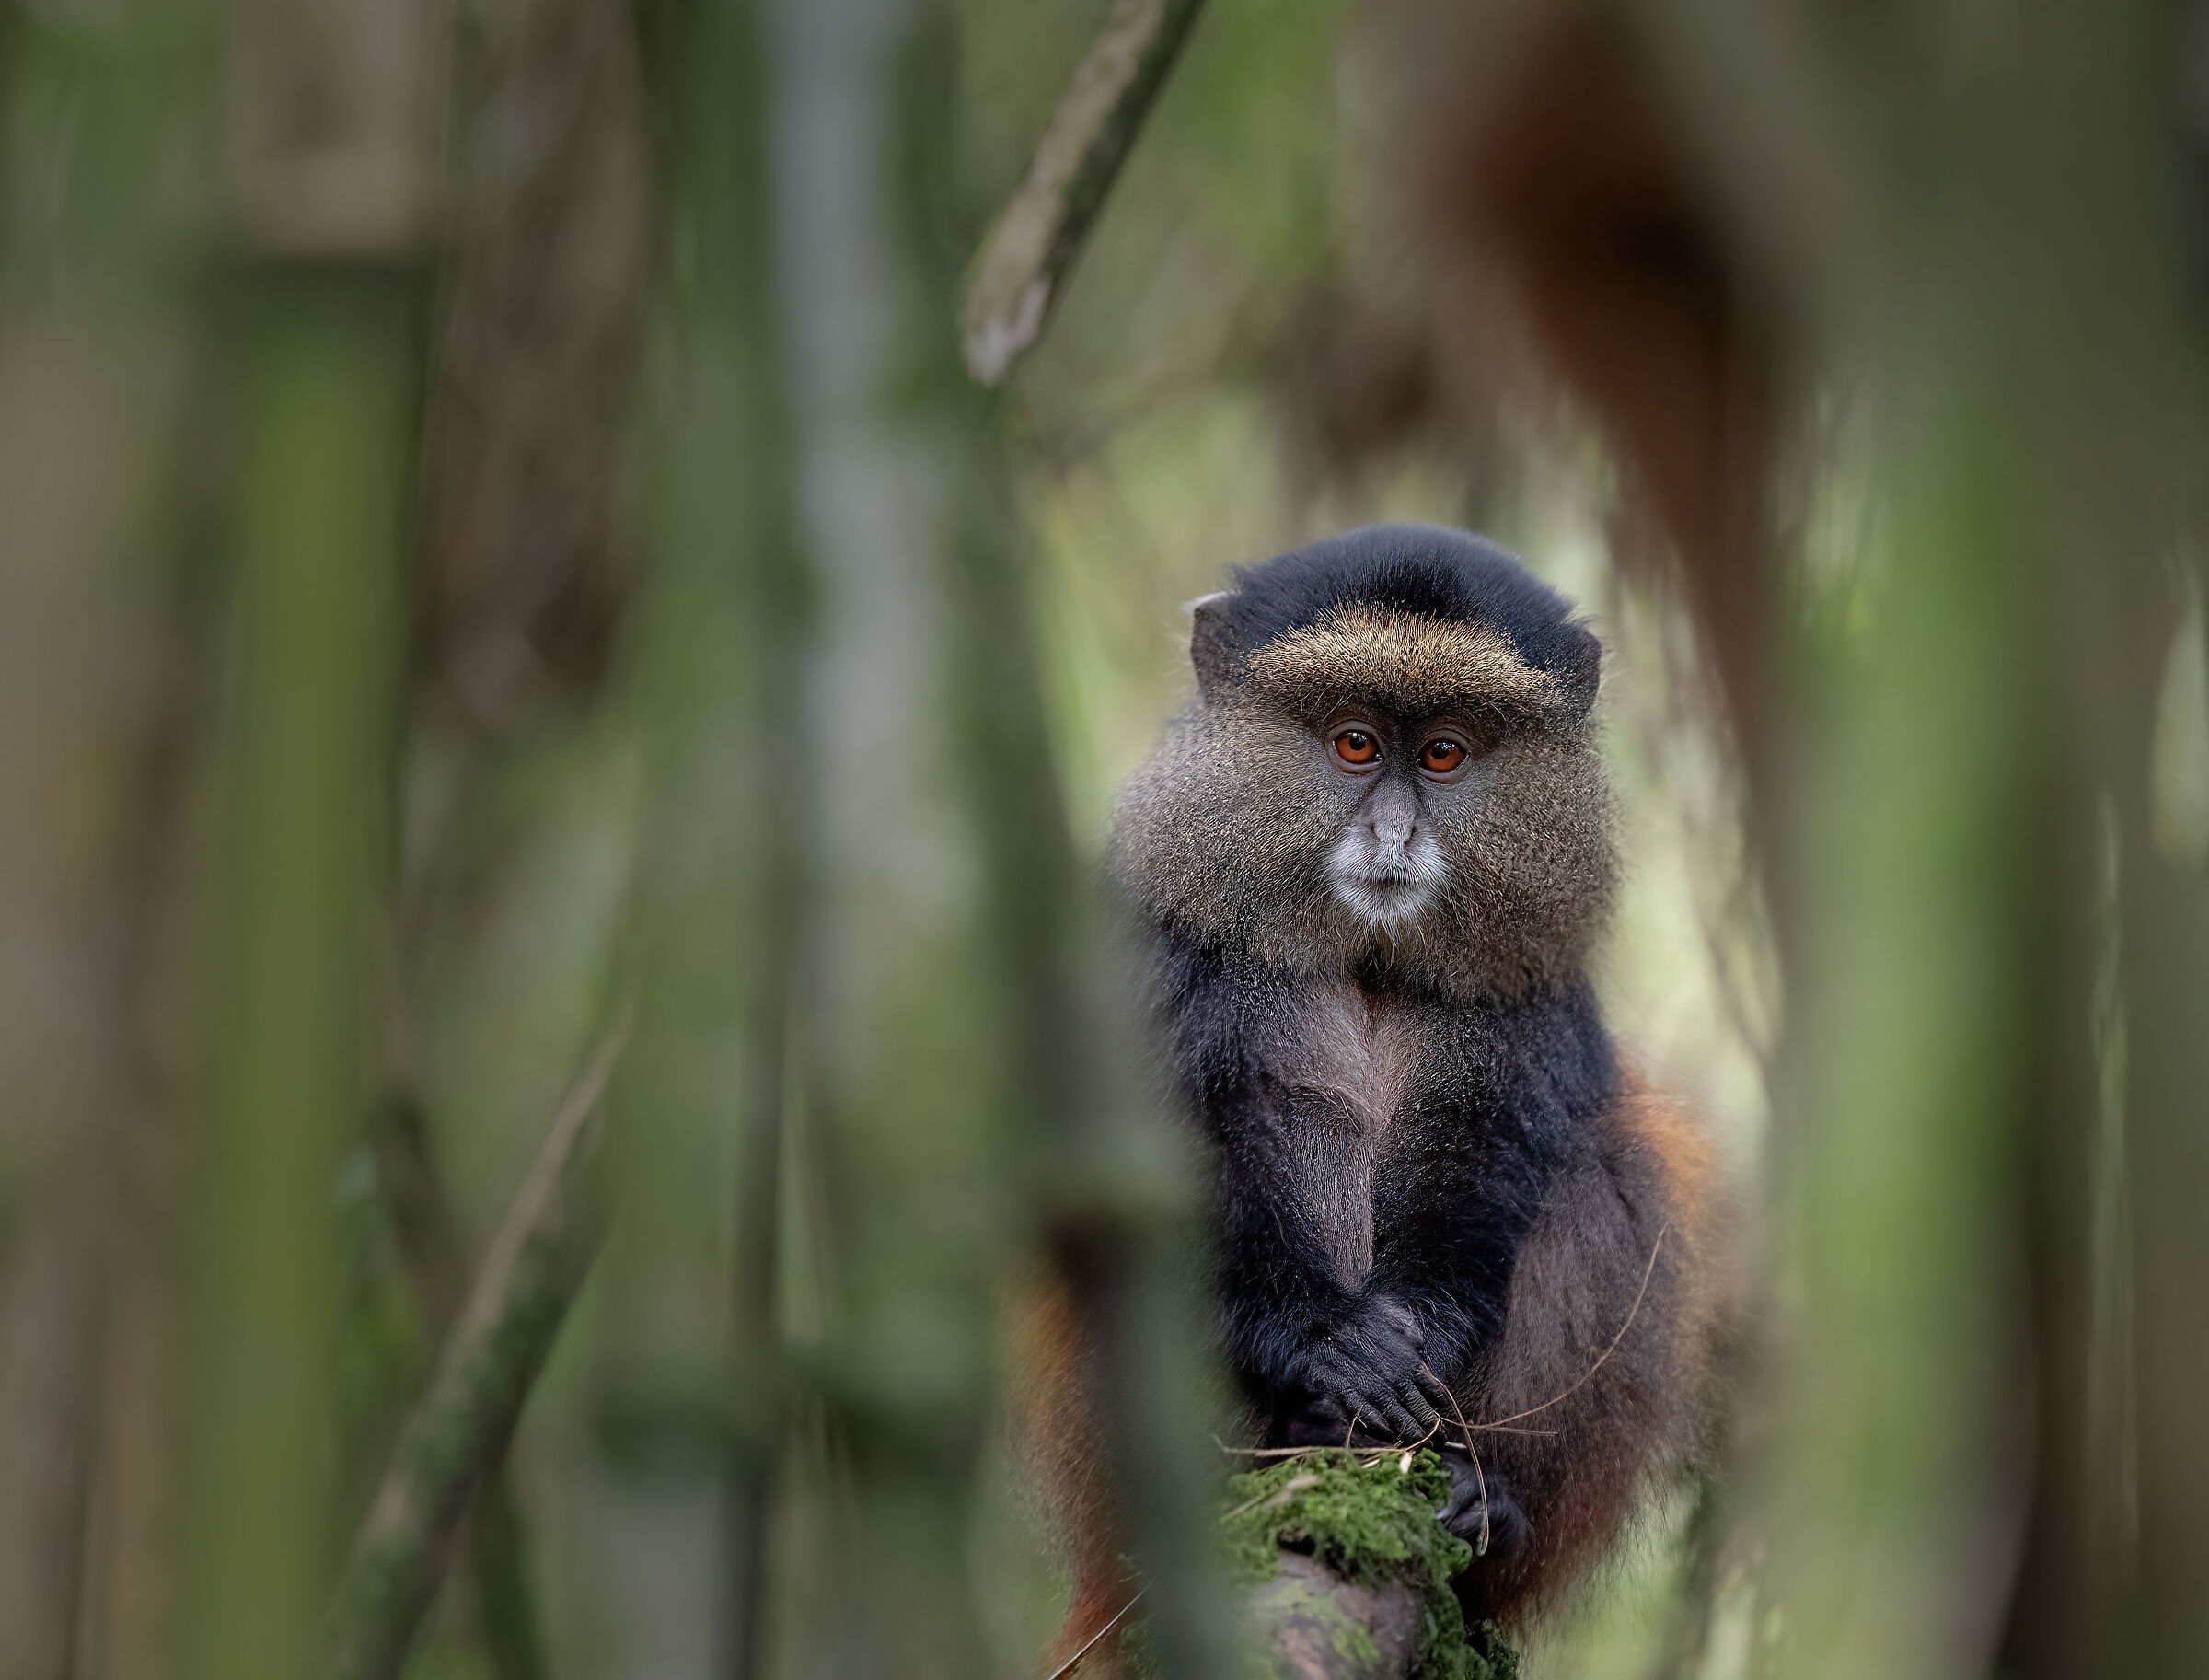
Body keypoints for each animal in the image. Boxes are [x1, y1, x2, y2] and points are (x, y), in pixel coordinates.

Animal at [1024, 521, 1727, 1676]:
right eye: (1355, 743)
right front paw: (1335, 1347)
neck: (1366, 956)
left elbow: (1488, 1149)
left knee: (1607, 1169)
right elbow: (1170, 1151)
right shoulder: (1151, 952)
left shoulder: (1528, 1003)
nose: (1393, 834)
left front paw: (1415, 1341)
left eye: (1443, 752)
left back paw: (1489, 1514)